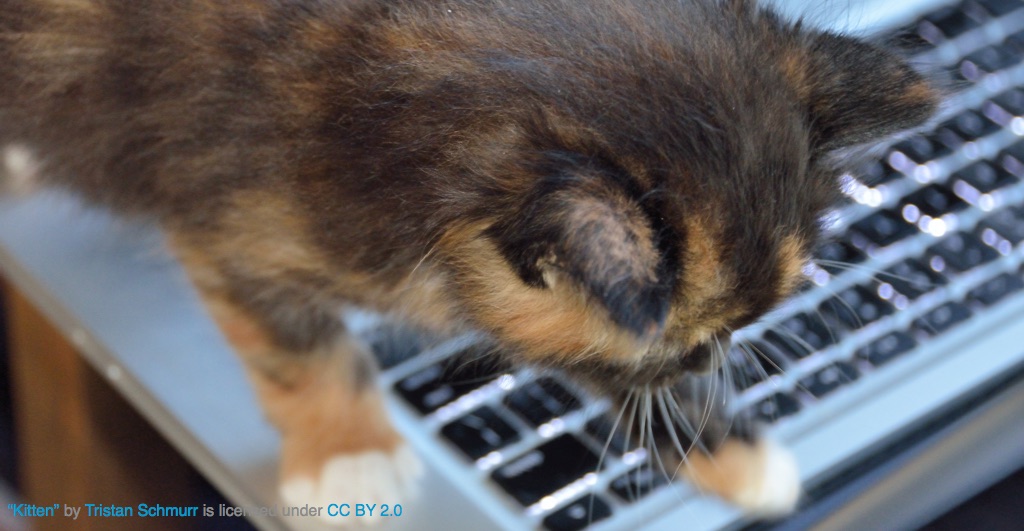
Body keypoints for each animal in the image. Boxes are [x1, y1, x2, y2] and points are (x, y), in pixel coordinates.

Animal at [0, 0, 937, 523]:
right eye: (691, 343)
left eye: (723, 337)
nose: (710, 359)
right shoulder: (233, 224)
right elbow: (307, 352)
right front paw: (348, 454)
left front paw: (727, 447)